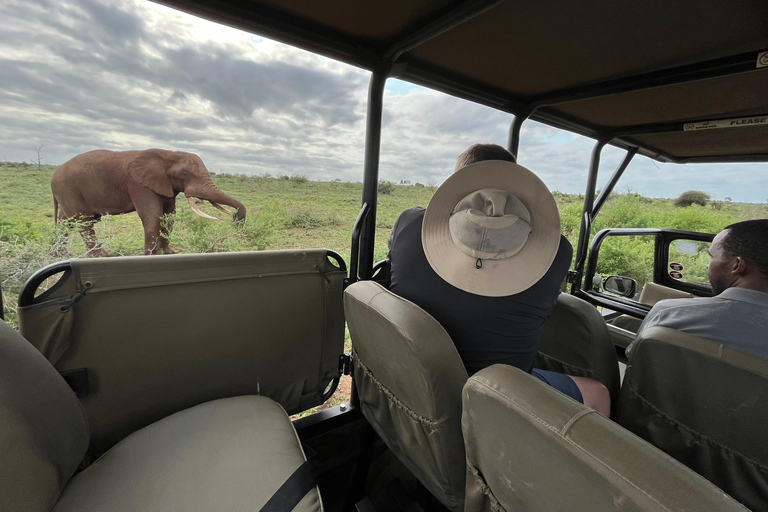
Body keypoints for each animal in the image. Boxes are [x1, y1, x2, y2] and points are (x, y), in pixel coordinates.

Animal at [51, 149, 246, 255]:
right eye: (185, 174)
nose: (236, 220)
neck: (169, 154)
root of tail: (53, 176)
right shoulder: (139, 184)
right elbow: (153, 216)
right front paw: (152, 255)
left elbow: (169, 216)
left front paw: (170, 252)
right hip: (69, 190)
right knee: (84, 222)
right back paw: (102, 256)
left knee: (65, 221)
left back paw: (59, 255)